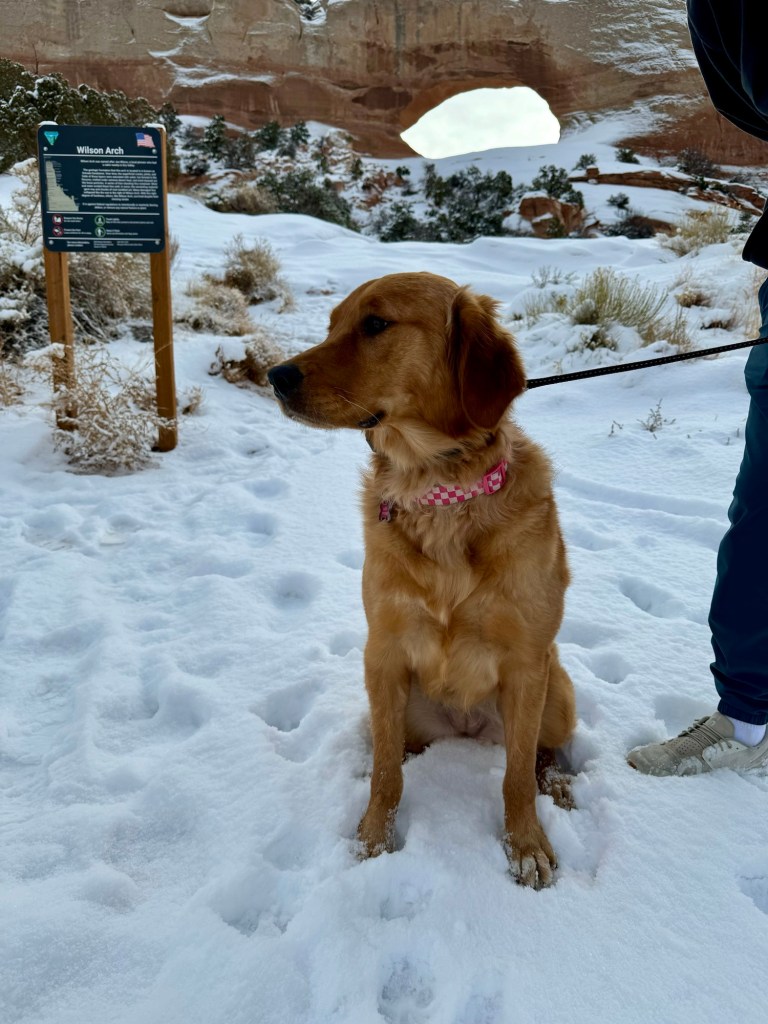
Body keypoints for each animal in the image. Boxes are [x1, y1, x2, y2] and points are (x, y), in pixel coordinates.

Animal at [267, 271, 576, 889]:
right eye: (331, 325)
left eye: (376, 323)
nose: (275, 376)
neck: (438, 492)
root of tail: (465, 726)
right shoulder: (383, 652)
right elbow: (386, 773)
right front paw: (372, 837)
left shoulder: (527, 663)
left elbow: (515, 779)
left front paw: (527, 845)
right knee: (397, 747)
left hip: (557, 689)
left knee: (538, 755)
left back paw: (557, 784)